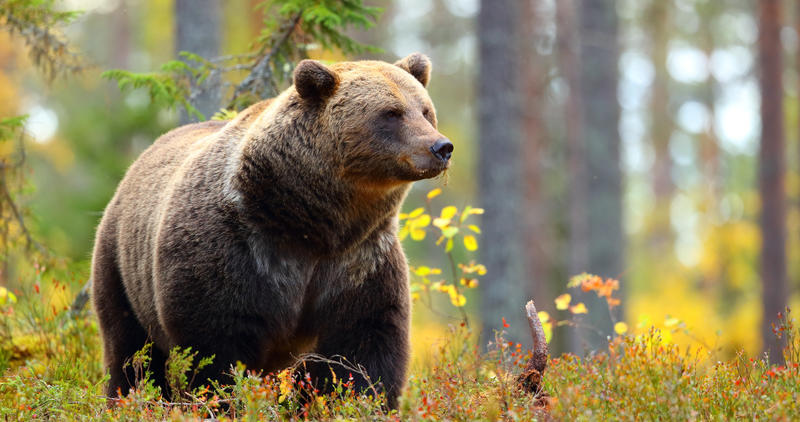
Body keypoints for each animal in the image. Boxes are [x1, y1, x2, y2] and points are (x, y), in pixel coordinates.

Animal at [91, 53, 453, 409]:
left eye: (425, 110)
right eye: (391, 113)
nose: (441, 147)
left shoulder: (359, 261)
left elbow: (365, 344)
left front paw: (359, 401)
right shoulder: (238, 249)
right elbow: (216, 345)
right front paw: (223, 400)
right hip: (121, 265)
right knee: (130, 350)